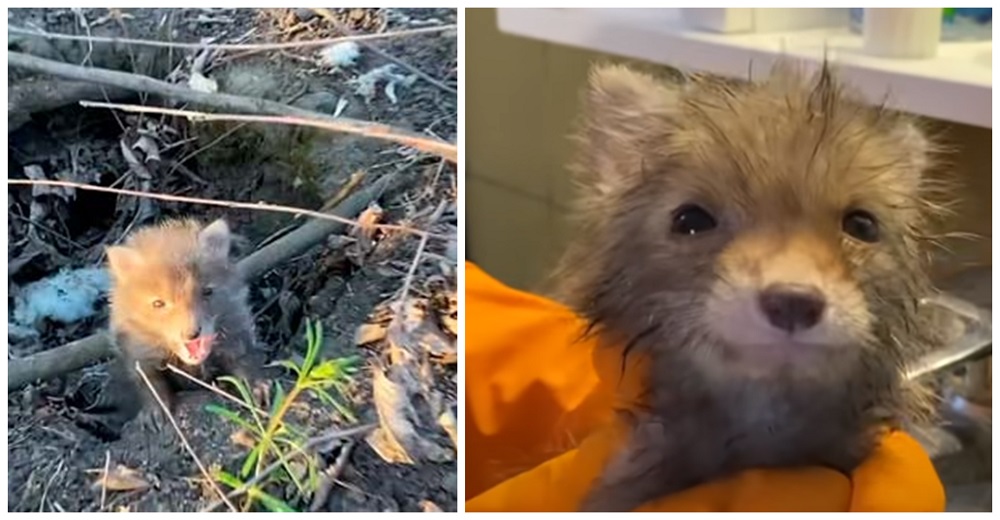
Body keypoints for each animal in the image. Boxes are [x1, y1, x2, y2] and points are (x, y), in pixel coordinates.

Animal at [106, 218, 260, 430]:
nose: (192, 333)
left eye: (207, 292)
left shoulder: (236, 330)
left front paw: (255, 389)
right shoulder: (139, 355)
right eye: (158, 303)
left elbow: (243, 362)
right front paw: (155, 413)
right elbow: (150, 382)